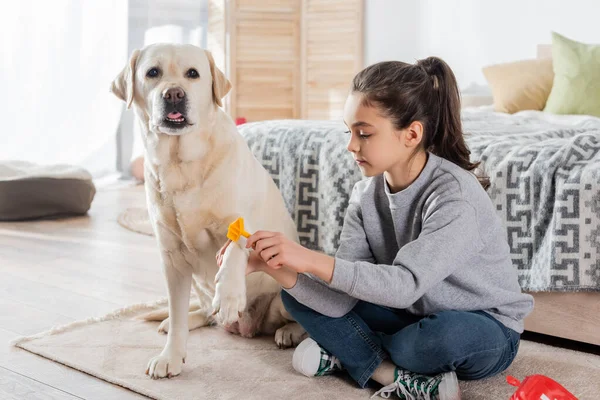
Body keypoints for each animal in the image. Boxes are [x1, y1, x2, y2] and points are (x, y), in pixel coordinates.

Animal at [112, 43, 308, 378]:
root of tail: (250, 327)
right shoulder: (172, 259)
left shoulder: (243, 225)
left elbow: (234, 251)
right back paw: (178, 321)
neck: (181, 164)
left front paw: (229, 295)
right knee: (202, 312)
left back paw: (289, 332)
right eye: (153, 72)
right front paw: (171, 355)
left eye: (193, 74)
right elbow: (178, 310)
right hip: (196, 287)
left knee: (296, 320)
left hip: (285, 294)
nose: (174, 94)